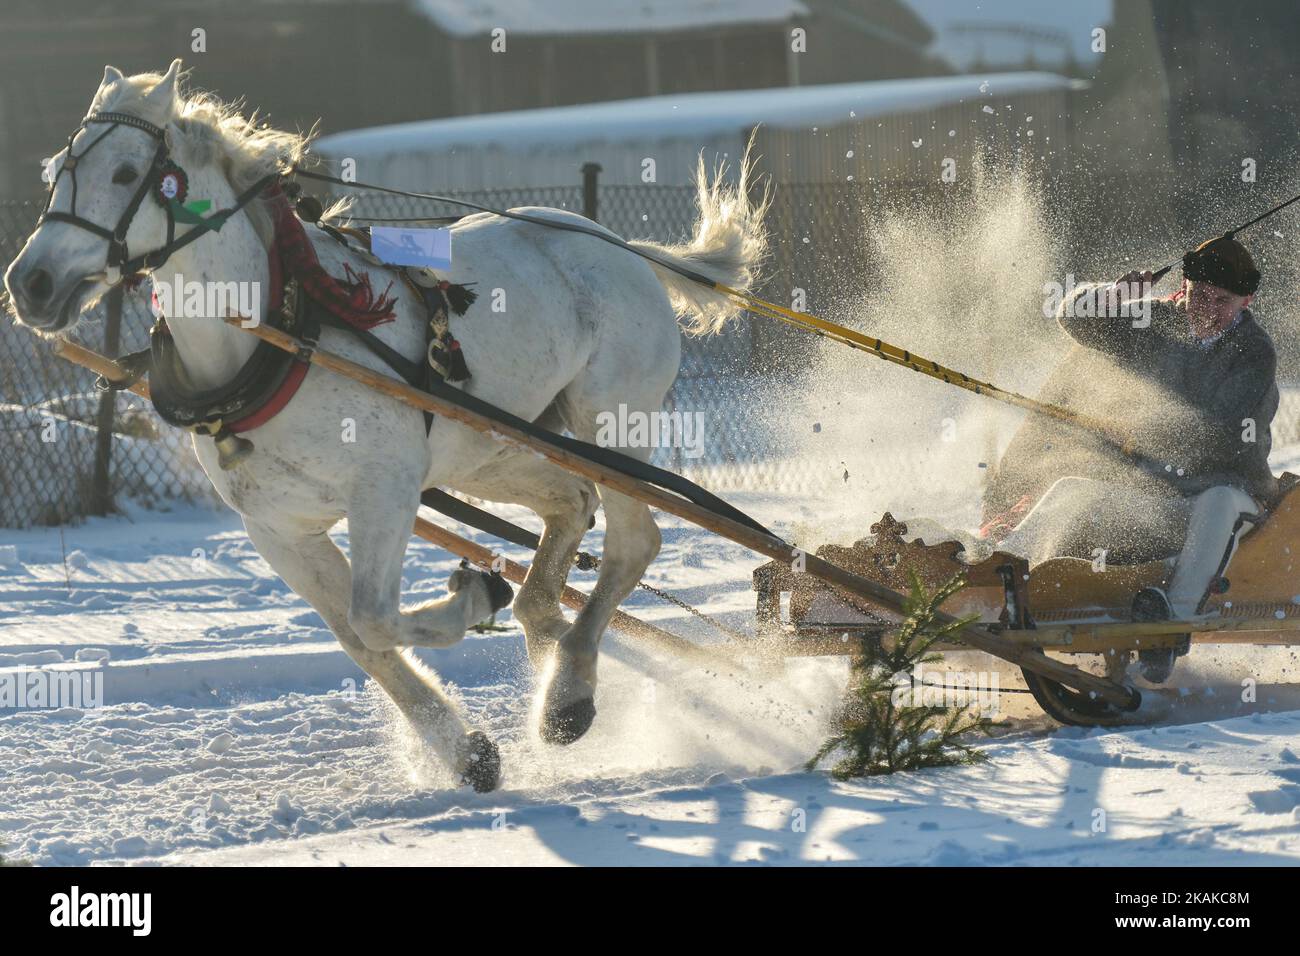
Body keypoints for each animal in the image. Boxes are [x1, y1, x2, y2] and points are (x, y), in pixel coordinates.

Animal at [5, 61, 764, 790]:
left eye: (127, 173)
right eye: (61, 167)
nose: (29, 283)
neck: (279, 334)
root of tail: (623, 247)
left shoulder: (385, 488)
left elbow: (372, 617)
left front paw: (473, 599)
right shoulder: (278, 529)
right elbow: (357, 639)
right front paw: (464, 751)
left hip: (608, 426)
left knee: (633, 541)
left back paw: (568, 689)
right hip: (494, 450)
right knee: (571, 507)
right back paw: (548, 632)